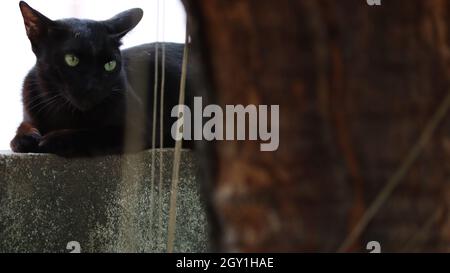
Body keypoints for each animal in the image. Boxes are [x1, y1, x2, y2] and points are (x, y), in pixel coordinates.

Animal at [10, 1, 190, 157]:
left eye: (109, 65)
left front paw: (54, 139)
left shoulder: (139, 129)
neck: (63, 111)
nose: (92, 87)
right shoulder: (29, 112)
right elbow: (24, 125)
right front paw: (24, 138)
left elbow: (92, 133)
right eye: (72, 59)